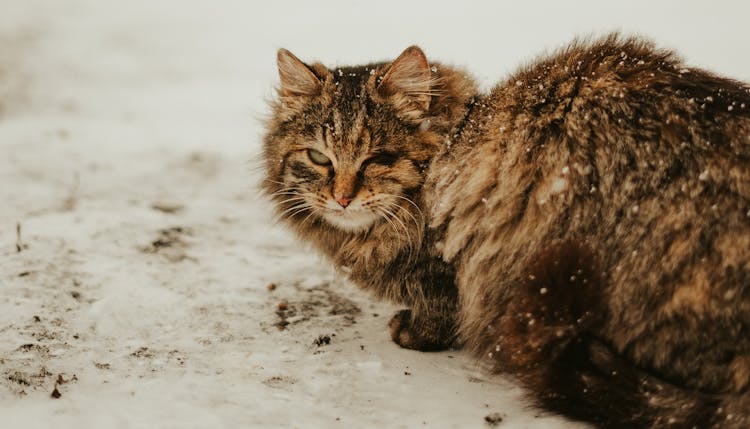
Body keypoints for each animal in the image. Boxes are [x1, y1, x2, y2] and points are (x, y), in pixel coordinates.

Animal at [262, 35, 750, 426]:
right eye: (319, 158)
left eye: (378, 158)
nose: (342, 198)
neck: (457, 139)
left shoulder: (454, 261)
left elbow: (440, 303)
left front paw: (414, 331)